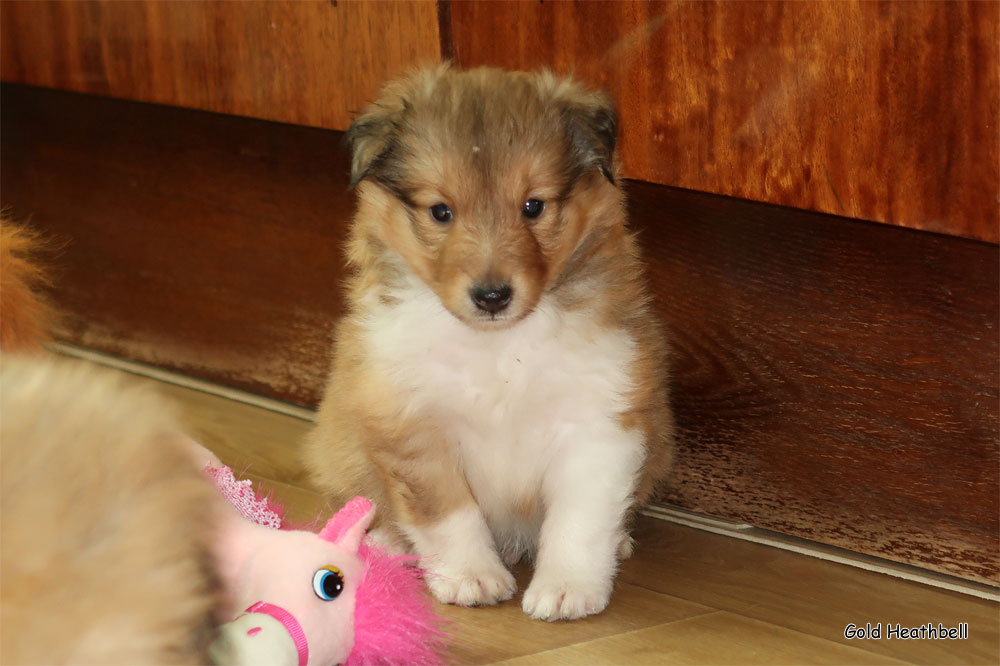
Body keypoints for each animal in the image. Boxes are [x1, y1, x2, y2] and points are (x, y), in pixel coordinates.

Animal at [302, 65, 672, 620]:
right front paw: (472, 578)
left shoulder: (600, 419)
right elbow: (448, 514)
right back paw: (385, 540)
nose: (493, 296)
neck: (498, 346)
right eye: (440, 212)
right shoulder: (412, 425)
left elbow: (580, 517)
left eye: (533, 206)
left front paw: (568, 589)